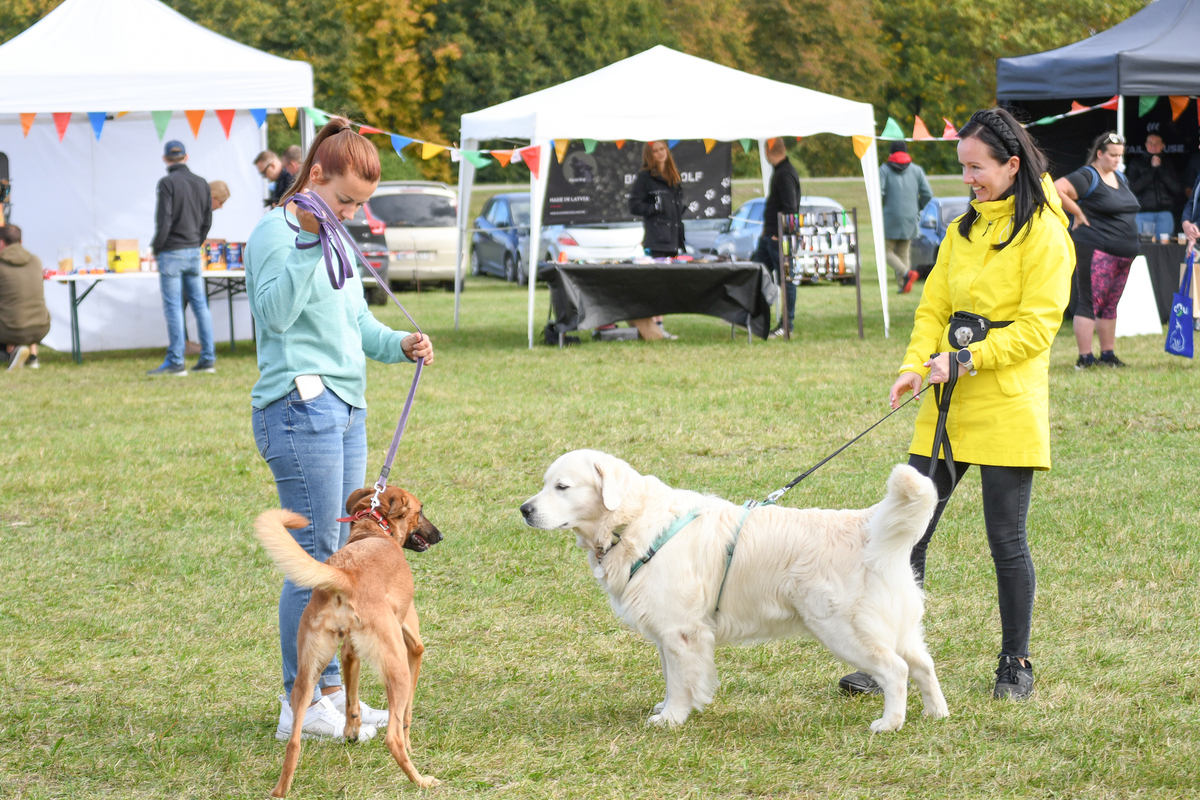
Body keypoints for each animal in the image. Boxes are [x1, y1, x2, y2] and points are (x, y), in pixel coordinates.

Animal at [255, 484, 444, 796]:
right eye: (421, 510)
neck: (374, 530)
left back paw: (280, 791)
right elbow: (407, 715)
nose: (439, 536)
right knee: (393, 737)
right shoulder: (413, 647)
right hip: (398, 670)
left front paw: (351, 732)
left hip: (307, 673)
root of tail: (345, 575)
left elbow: (351, 701)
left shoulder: (348, 653)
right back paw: (422, 780)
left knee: (294, 742)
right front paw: (411, 746)